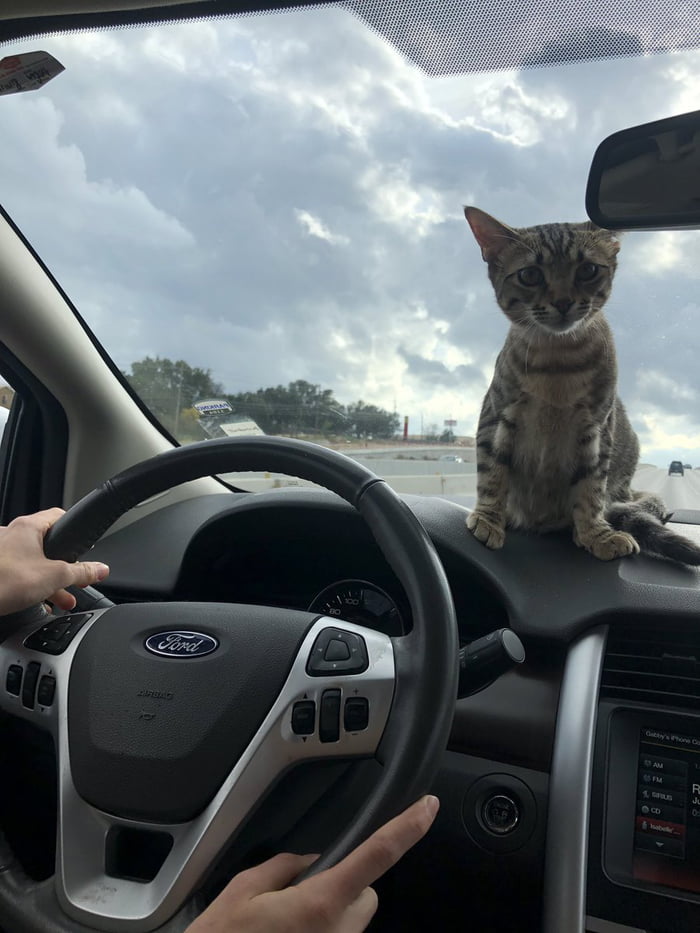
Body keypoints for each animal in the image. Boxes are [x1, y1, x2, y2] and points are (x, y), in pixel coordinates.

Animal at [464, 205, 700, 564]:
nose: (563, 301)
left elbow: (591, 489)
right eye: (530, 275)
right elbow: (492, 472)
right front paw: (489, 517)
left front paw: (595, 533)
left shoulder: (597, 428)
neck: (556, 362)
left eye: (587, 270)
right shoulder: (497, 414)